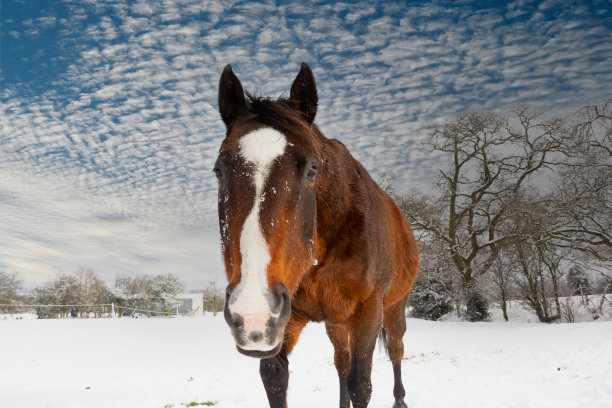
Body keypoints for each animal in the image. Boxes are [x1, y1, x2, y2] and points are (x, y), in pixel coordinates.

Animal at [213, 63, 418, 408]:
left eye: (312, 169)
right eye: (219, 170)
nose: (252, 311)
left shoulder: (368, 312)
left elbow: (361, 385)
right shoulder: (286, 318)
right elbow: (275, 378)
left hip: (393, 308)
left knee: (395, 350)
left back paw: (401, 399)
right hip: (335, 321)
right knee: (341, 360)